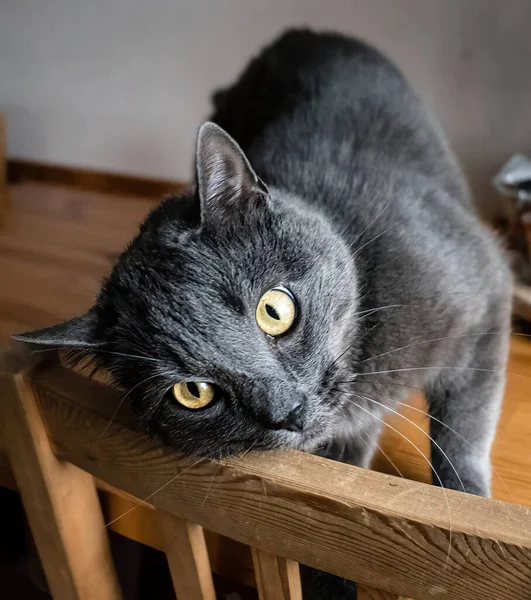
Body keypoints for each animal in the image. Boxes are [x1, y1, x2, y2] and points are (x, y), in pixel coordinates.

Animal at [16, 29, 512, 600]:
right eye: (192, 393)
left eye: (274, 310)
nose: (286, 410)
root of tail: (299, 32)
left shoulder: (486, 298)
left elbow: (462, 434)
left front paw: (467, 503)